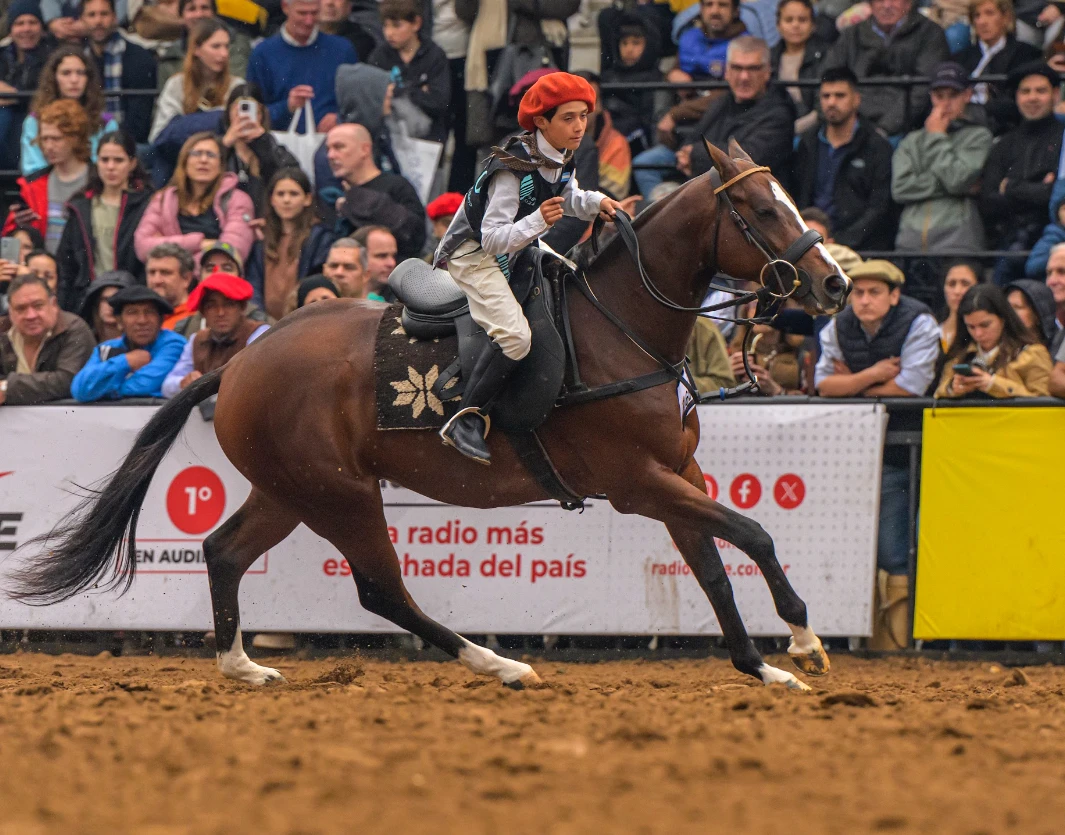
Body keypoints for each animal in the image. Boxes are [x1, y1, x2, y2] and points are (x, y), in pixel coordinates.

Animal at [10, 141, 851, 691]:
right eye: (758, 208)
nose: (834, 283)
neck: (620, 324)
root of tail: (241, 359)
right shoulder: (636, 481)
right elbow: (750, 532)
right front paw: (803, 638)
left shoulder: (677, 470)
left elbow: (710, 562)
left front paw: (761, 665)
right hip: (340, 494)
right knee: (381, 590)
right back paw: (499, 662)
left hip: (291, 490)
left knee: (222, 550)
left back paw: (242, 664)